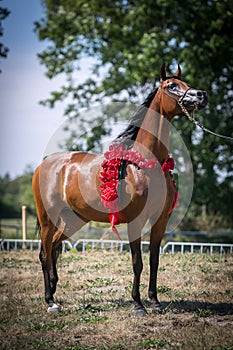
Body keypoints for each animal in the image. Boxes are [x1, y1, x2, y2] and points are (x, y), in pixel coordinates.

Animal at [32, 63, 208, 314]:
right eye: (171, 86)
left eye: (187, 84)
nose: (202, 95)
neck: (144, 164)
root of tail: (45, 163)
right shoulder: (136, 220)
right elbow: (137, 262)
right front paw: (138, 304)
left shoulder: (160, 220)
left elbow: (154, 260)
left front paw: (154, 301)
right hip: (48, 217)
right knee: (45, 253)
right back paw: (50, 301)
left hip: (74, 219)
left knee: (54, 246)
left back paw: (55, 290)